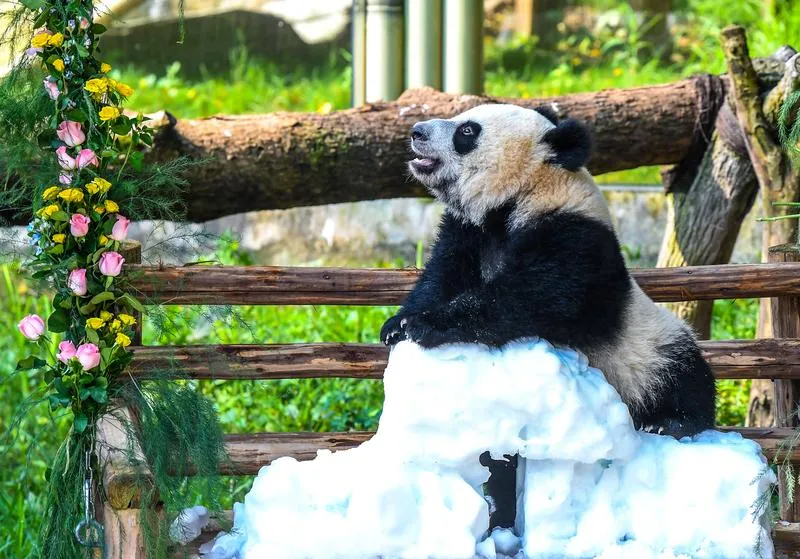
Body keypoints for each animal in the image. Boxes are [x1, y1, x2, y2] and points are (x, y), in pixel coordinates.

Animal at [380, 103, 716, 529]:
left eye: (467, 131)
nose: (417, 131)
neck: (526, 192)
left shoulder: (573, 237)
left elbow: (534, 297)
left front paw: (426, 325)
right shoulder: (469, 232)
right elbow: (442, 273)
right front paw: (399, 324)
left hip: (652, 346)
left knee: (686, 374)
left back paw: (670, 421)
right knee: (499, 462)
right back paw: (500, 511)